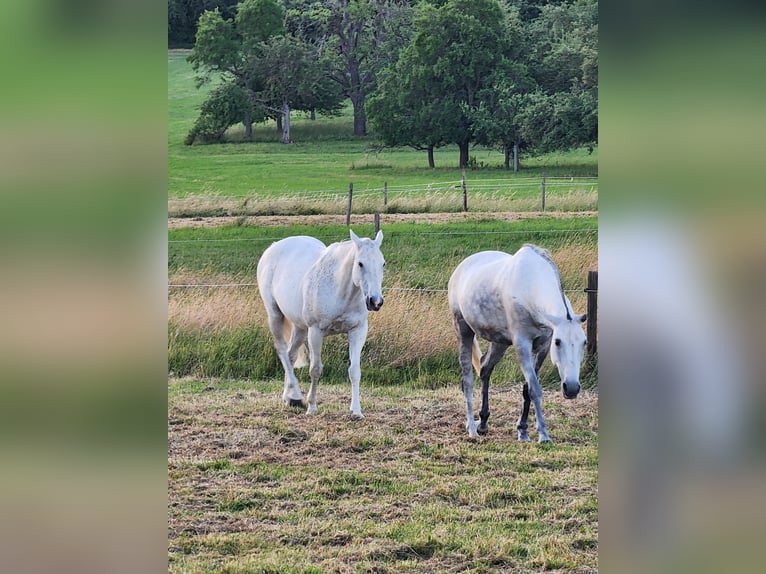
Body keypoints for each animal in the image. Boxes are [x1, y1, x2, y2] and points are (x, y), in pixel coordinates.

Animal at [256, 230, 385, 418]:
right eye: (360, 263)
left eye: (383, 264)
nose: (375, 301)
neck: (341, 291)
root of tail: (273, 247)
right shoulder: (316, 331)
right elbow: (315, 369)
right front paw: (312, 407)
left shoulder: (358, 330)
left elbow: (355, 371)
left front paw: (356, 411)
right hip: (275, 315)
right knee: (281, 350)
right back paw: (296, 395)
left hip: (300, 327)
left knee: (290, 355)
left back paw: (289, 397)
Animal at [447, 243, 587, 441]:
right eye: (558, 342)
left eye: (584, 342)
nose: (572, 389)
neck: (530, 287)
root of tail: (462, 267)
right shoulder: (522, 345)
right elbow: (534, 389)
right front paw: (543, 435)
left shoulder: (542, 347)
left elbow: (527, 389)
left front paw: (523, 431)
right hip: (463, 330)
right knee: (467, 380)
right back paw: (472, 429)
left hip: (499, 342)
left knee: (485, 368)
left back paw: (482, 422)